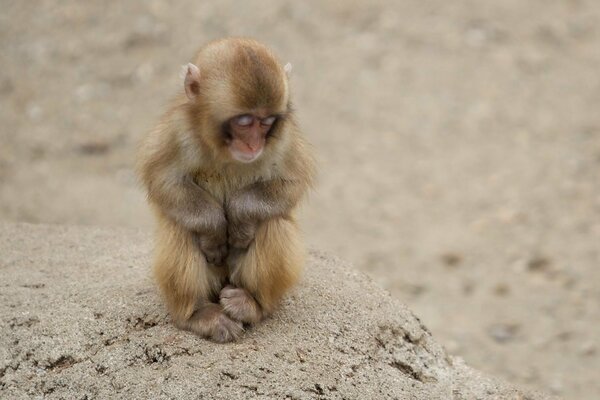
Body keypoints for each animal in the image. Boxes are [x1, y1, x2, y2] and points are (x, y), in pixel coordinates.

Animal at [136, 37, 314, 342]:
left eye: (266, 122)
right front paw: (214, 229)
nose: (254, 145)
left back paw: (252, 304)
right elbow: (163, 179)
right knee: (180, 227)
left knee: (273, 223)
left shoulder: (284, 137)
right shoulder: (177, 130)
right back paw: (197, 314)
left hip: (235, 275)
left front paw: (240, 218)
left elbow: (291, 181)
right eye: (244, 121)